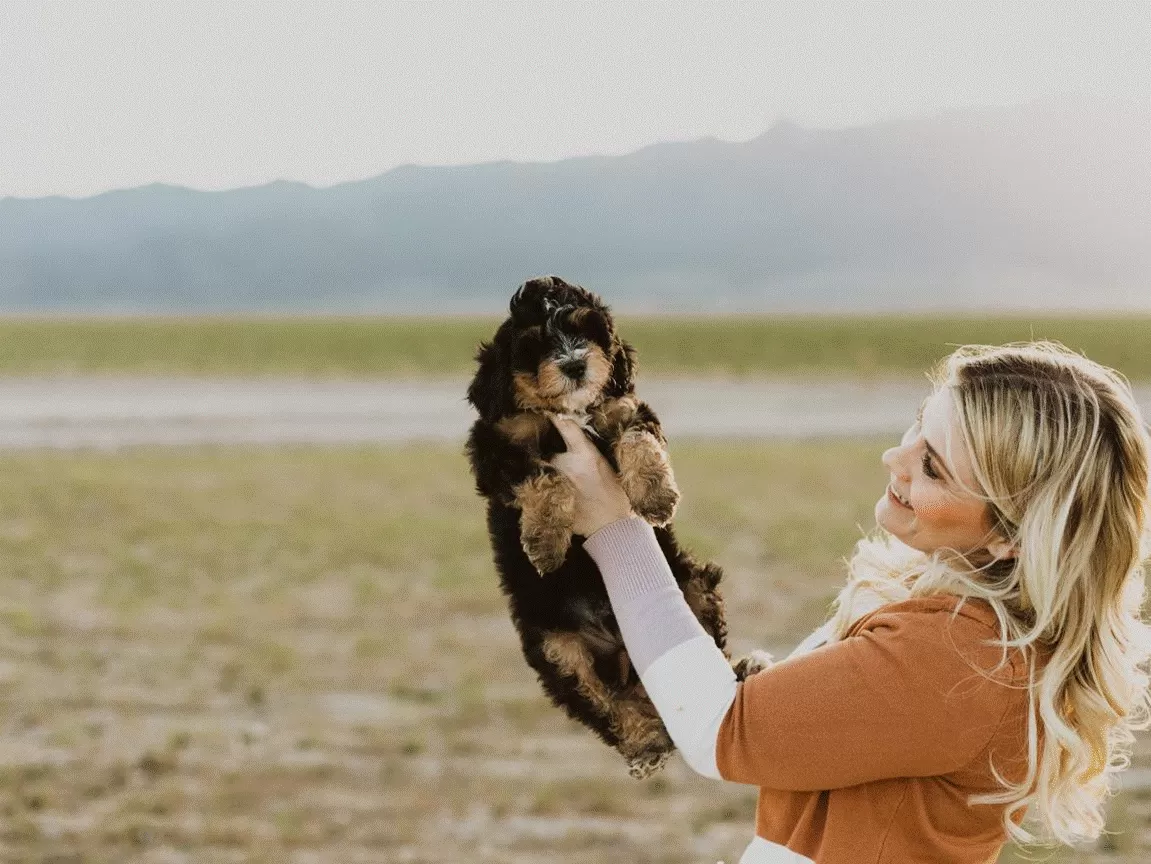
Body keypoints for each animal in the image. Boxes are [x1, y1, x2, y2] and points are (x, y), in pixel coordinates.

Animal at [462, 274, 768, 777]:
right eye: (534, 344)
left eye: (586, 331)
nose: (574, 365)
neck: (567, 412)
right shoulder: (499, 447)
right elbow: (540, 476)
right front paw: (546, 540)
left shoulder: (623, 408)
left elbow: (637, 438)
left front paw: (656, 495)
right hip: (555, 644)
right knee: (605, 702)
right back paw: (645, 742)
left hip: (693, 583)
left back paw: (742, 672)